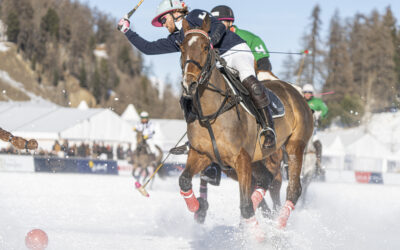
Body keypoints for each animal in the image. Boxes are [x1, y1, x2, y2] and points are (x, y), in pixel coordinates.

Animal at [179, 15, 316, 236]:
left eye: (205, 47)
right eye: (182, 48)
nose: (189, 84)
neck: (211, 113)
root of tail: (295, 91)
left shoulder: (241, 159)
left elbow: (245, 206)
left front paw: (259, 237)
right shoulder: (202, 154)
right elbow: (184, 181)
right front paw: (198, 208)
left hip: (295, 145)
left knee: (292, 189)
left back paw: (278, 228)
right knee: (267, 181)